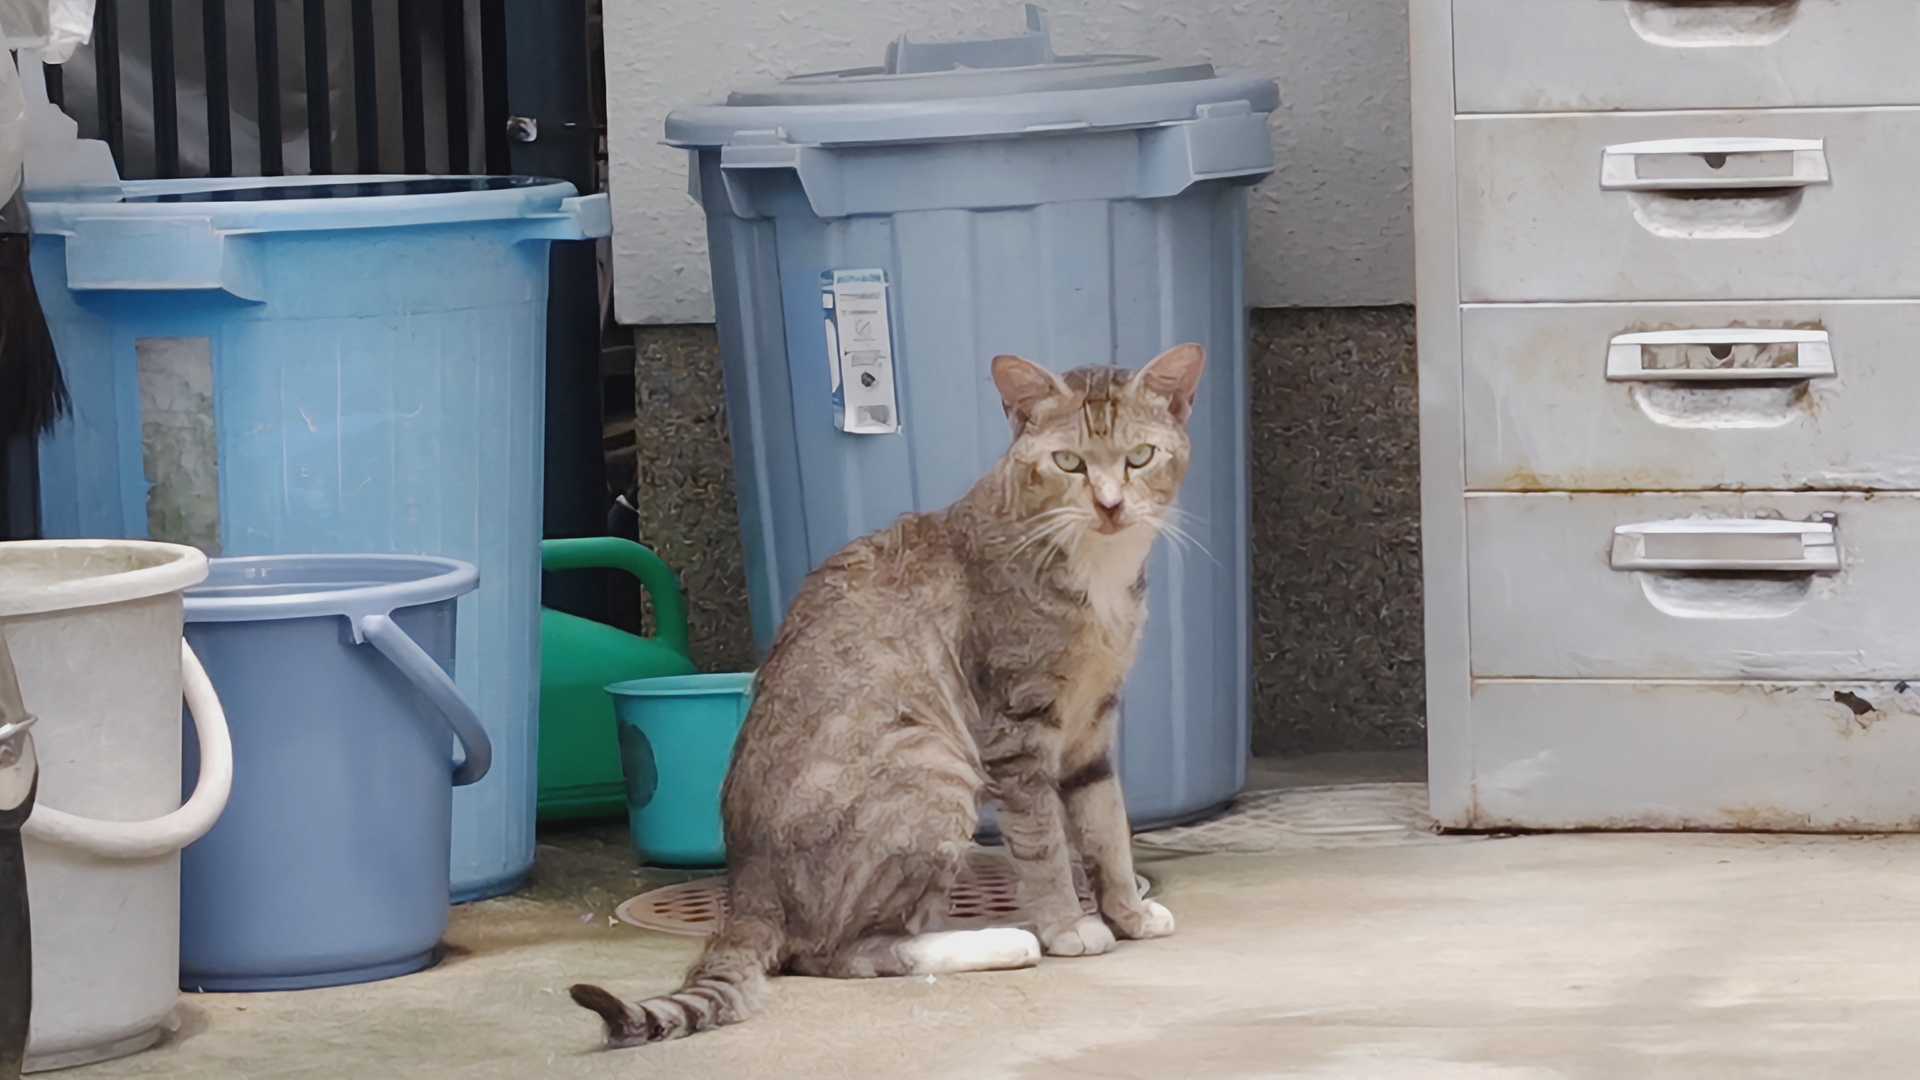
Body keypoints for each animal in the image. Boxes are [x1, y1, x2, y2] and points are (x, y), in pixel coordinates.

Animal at [569, 343, 1207, 1048]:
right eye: (1069, 462)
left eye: (1139, 456)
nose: (1111, 505)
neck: (1097, 573)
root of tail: (748, 888)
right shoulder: (1017, 728)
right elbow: (1044, 844)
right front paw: (1068, 926)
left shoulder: (1091, 726)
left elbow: (1107, 828)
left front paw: (1128, 912)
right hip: (933, 767)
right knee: (839, 952)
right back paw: (1001, 941)